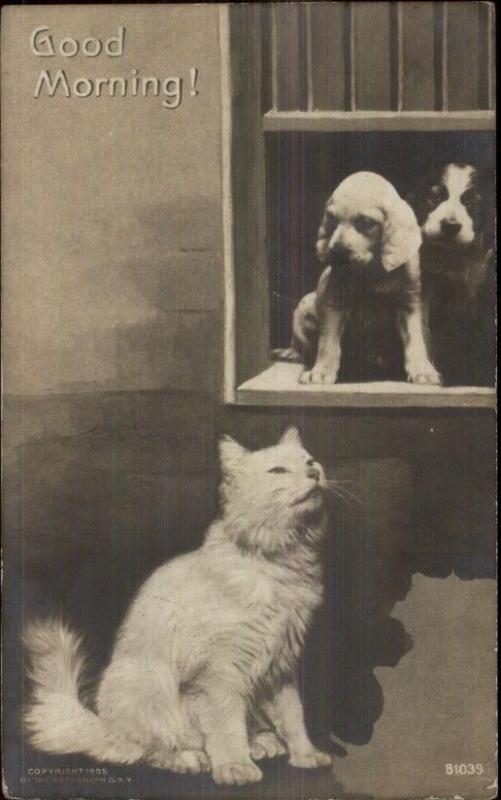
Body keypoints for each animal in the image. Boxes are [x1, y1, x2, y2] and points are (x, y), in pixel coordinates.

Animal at [24, 428, 332, 784]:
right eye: (278, 471)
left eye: (310, 462)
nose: (315, 474)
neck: (278, 565)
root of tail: (105, 729)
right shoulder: (217, 674)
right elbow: (227, 728)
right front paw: (234, 767)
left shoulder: (281, 667)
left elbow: (293, 717)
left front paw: (306, 755)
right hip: (148, 680)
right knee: (150, 749)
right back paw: (188, 758)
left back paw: (262, 742)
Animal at [408, 163, 494, 388]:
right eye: (434, 197)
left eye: (471, 203)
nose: (450, 225)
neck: (452, 255)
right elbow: (419, 329)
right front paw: (423, 370)